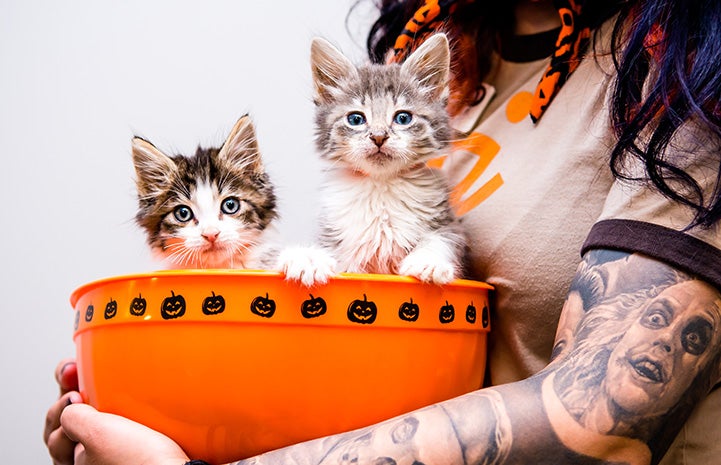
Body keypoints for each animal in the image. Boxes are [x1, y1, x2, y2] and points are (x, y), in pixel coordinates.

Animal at [278, 32, 464, 284]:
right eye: (356, 119)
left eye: (403, 118)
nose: (378, 136)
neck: (381, 186)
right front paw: (307, 259)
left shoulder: (449, 225)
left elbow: (442, 239)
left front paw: (428, 262)